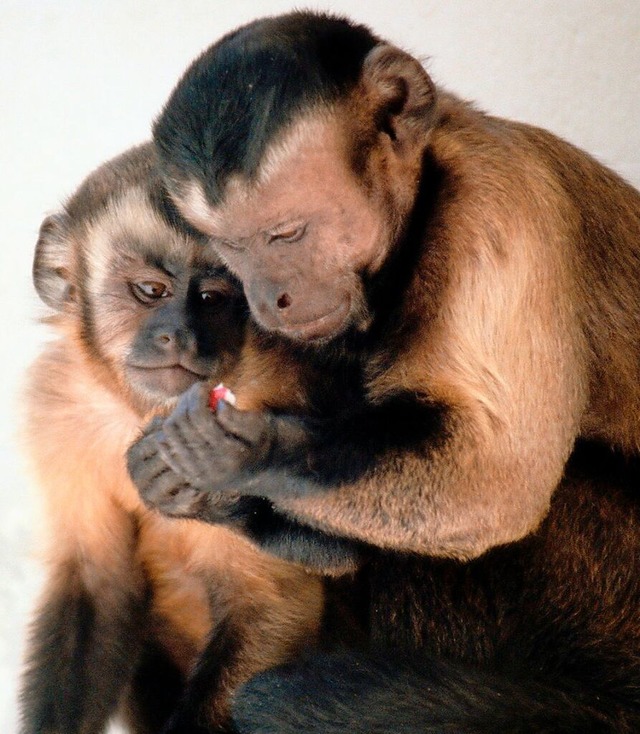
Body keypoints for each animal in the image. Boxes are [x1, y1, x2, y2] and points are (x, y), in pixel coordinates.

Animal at [20, 142, 336, 734]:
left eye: (212, 298)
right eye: (151, 292)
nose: (181, 335)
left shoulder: (268, 406)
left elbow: (274, 603)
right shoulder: (56, 407)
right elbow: (97, 587)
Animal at [125, 10, 640, 734]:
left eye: (286, 234)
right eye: (231, 247)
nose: (271, 297)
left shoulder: (498, 211)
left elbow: (496, 479)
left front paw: (240, 453)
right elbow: (341, 551)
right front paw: (199, 490)